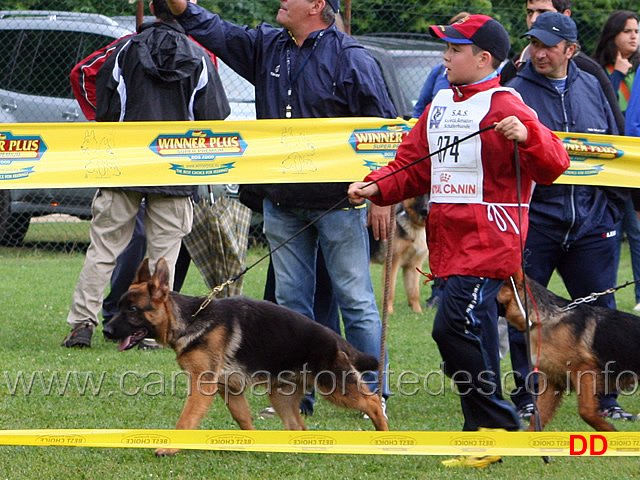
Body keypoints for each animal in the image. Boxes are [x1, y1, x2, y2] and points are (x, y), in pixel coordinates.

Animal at [104, 256, 390, 456]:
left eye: (132, 309)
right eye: (119, 306)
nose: (106, 331)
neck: (191, 319)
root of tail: (334, 338)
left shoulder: (202, 387)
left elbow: (186, 420)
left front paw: (169, 448)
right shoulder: (228, 389)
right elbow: (243, 418)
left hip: (334, 387)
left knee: (373, 402)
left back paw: (385, 438)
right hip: (281, 395)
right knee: (298, 426)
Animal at [498, 272, 640, 434]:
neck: (544, 319)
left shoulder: (584, 371)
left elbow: (586, 411)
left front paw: (608, 429)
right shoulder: (551, 380)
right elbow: (537, 419)